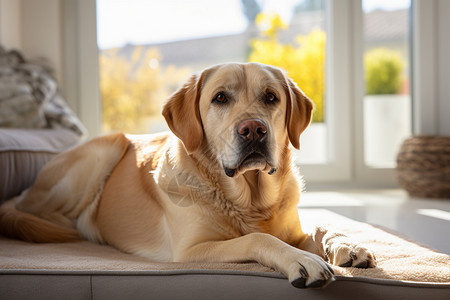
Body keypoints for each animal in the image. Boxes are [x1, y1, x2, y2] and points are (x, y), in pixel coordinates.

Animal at [0, 62, 376, 288]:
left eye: (271, 97)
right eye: (220, 98)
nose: (254, 129)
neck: (248, 200)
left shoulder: (292, 229)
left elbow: (322, 225)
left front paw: (348, 244)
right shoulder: (192, 250)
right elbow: (258, 239)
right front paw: (302, 260)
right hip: (102, 151)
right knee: (45, 214)